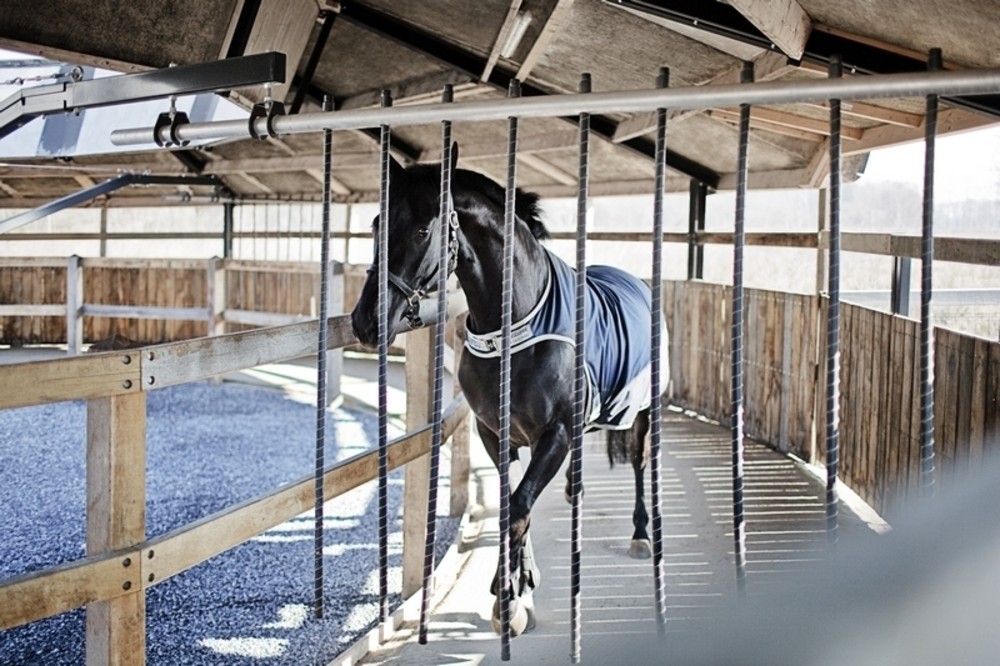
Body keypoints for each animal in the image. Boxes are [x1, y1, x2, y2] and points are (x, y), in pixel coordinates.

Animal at [348, 148, 668, 636]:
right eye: (376, 223)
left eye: (423, 229)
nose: (366, 321)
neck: (517, 326)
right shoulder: (494, 433)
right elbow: (512, 503)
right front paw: (520, 588)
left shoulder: (553, 436)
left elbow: (518, 508)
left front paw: (508, 596)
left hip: (645, 412)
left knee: (638, 461)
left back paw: (640, 534)